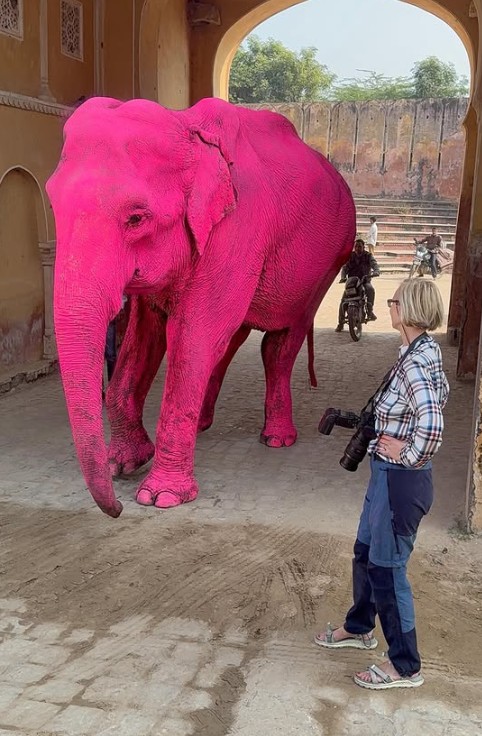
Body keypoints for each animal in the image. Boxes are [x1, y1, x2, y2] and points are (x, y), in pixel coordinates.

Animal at [46, 97, 355, 518]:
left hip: (329, 261)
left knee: (279, 343)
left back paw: (277, 439)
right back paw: (203, 426)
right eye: (52, 205)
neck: (186, 127)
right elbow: (146, 336)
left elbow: (192, 335)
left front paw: (160, 497)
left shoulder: (237, 229)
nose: (116, 509)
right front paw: (122, 464)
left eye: (136, 218)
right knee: (230, 341)